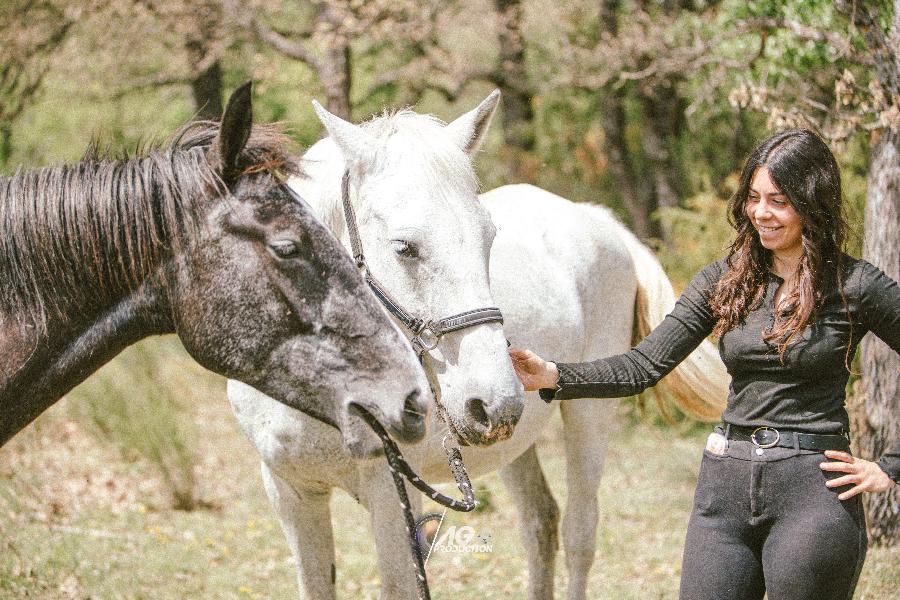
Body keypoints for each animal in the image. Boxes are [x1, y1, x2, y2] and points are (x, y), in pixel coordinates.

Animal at [229, 92, 728, 596]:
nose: (493, 402)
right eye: (404, 247)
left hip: (588, 417)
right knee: (540, 522)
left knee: (579, 534)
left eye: (489, 237)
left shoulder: (392, 498)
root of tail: (596, 217)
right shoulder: (292, 494)